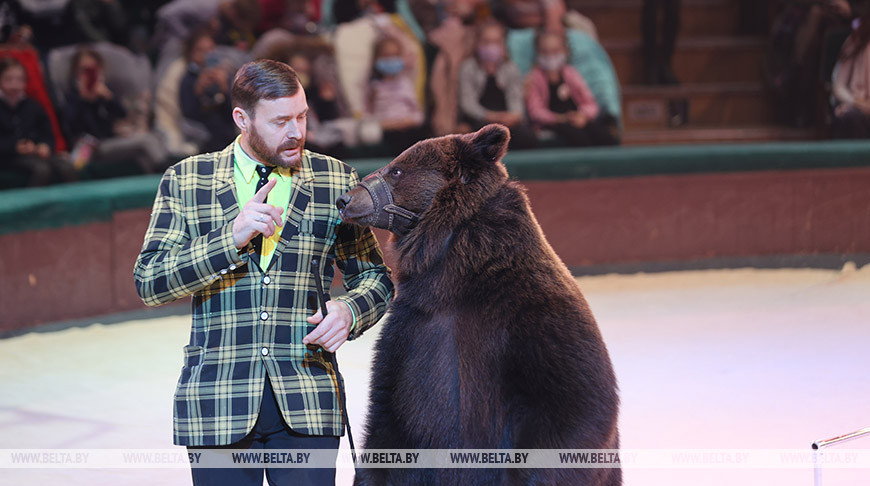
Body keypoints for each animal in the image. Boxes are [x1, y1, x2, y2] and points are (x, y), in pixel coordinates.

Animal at [338, 123, 624, 484]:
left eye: (397, 169)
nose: (345, 199)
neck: (456, 274)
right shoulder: (412, 330)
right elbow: (388, 416)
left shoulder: (534, 319)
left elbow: (575, 402)